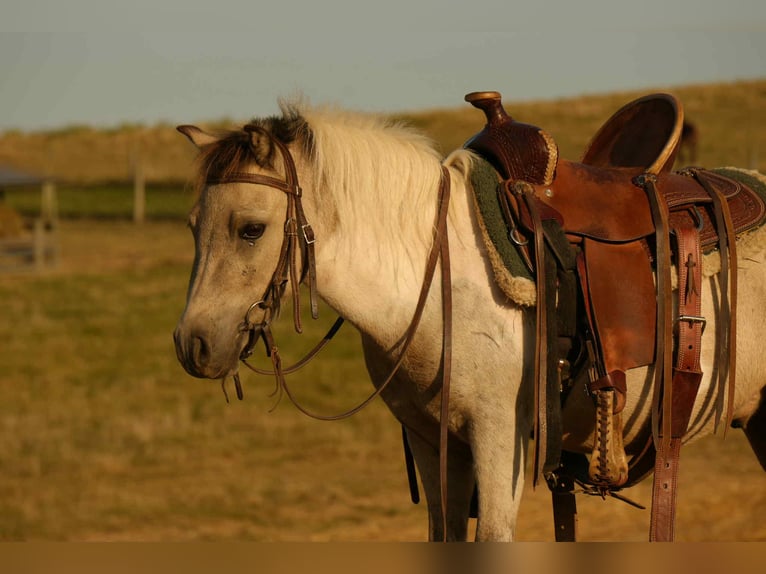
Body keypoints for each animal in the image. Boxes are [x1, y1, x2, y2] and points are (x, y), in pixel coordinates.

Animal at [173, 99, 766, 541]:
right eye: (194, 225)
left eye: (251, 229)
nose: (192, 345)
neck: (439, 276)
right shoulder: (431, 441)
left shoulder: (500, 436)